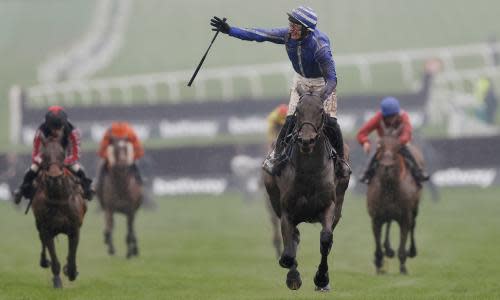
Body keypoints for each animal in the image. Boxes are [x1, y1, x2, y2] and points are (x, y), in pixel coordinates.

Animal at [30, 135, 87, 288]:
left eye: (62, 154)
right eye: (44, 156)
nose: (54, 177)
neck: (58, 197)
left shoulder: (74, 229)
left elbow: (72, 255)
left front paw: (71, 271)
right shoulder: (47, 229)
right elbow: (53, 257)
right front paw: (57, 281)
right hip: (39, 225)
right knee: (42, 242)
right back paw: (44, 261)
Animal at [262, 86, 352, 290]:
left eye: (320, 111)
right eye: (297, 111)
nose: (306, 140)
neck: (309, 171)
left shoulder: (329, 206)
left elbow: (326, 240)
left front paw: (322, 278)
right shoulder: (287, 211)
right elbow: (288, 251)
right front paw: (292, 276)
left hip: (339, 205)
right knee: (293, 237)